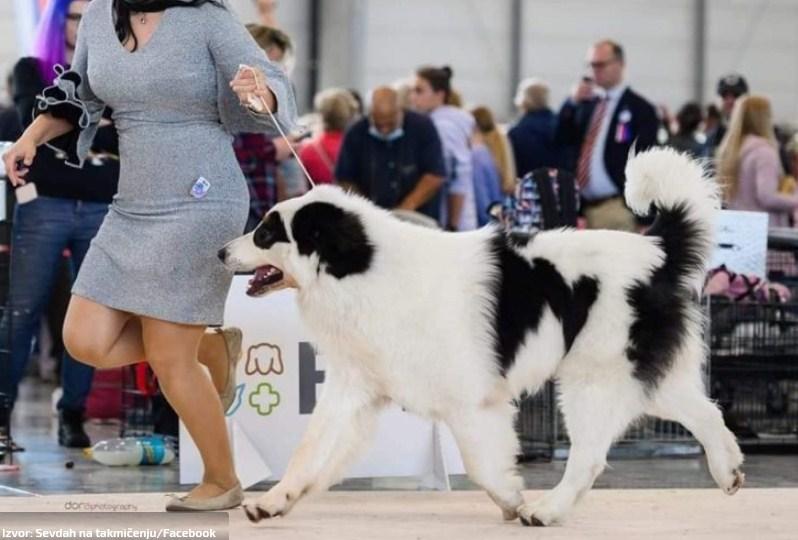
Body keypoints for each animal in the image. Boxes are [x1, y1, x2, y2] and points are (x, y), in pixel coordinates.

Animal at [217, 149, 744, 528]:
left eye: (266, 233)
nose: (221, 252)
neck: (362, 269)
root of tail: (656, 250)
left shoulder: (469, 402)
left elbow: (478, 462)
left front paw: (511, 498)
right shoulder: (355, 389)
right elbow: (311, 450)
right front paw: (275, 501)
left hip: (593, 379)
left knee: (589, 456)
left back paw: (546, 510)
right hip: (642, 376)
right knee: (707, 413)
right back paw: (729, 470)